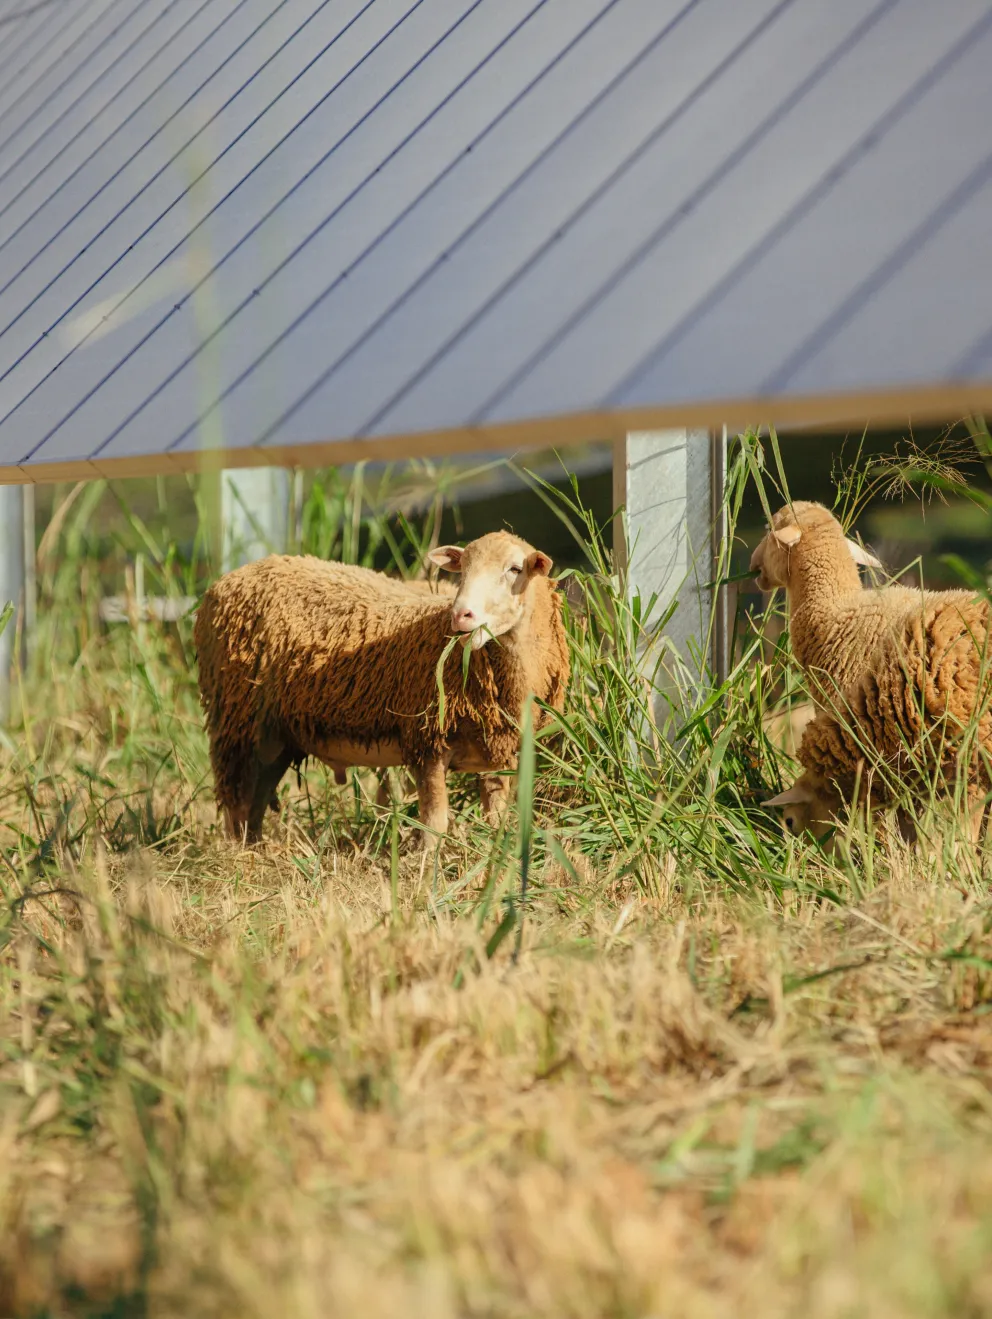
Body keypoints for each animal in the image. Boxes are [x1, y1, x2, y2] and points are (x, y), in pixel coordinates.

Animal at [193, 531, 569, 844]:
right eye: (462, 569)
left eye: (515, 569)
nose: (461, 615)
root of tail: (223, 583)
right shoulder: (427, 741)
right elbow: (435, 824)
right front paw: (425, 871)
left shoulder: (497, 751)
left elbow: (495, 817)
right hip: (236, 720)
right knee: (236, 801)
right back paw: (238, 857)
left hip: (277, 736)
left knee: (255, 800)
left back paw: (256, 850)